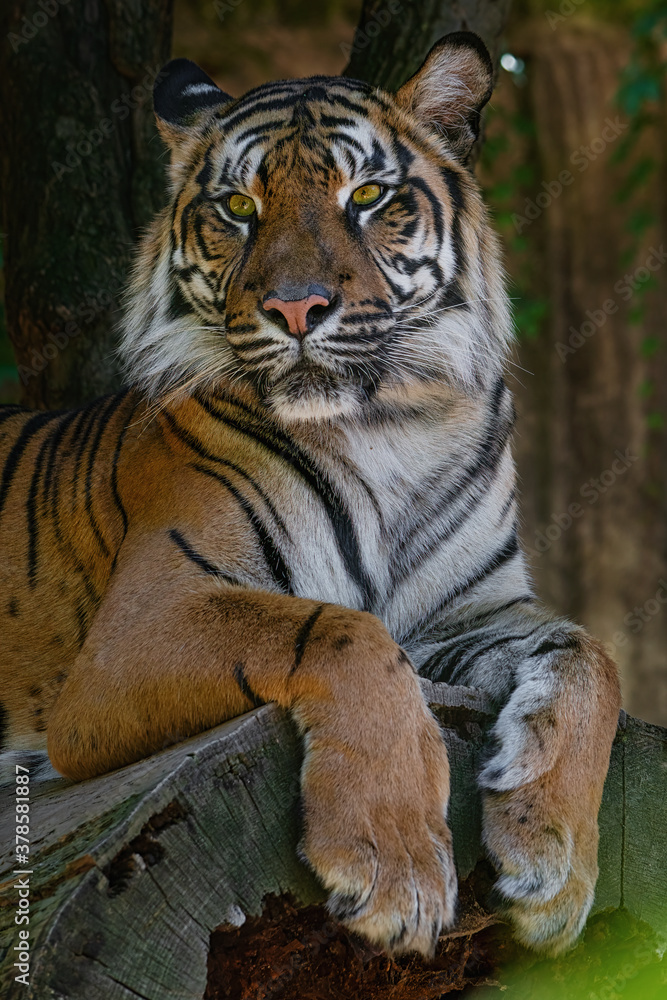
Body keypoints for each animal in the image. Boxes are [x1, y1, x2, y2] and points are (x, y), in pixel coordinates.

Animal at [0, 32, 620, 959]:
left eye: (365, 196)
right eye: (237, 206)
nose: (296, 309)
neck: (395, 423)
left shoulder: (468, 612)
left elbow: (591, 659)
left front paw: (553, 862)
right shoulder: (138, 626)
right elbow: (341, 631)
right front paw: (396, 870)